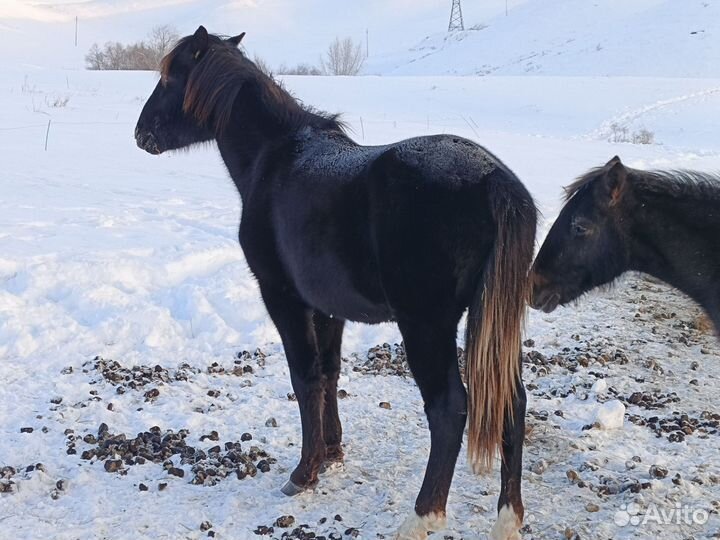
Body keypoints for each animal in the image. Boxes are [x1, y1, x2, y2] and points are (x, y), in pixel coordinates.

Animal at [135, 26, 537, 539]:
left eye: (170, 78)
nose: (141, 133)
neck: (276, 159)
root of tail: (491, 180)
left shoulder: (283, 298)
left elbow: (304, 377)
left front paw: (303, 473)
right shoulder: (328, 308)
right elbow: (329, 374)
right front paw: (331, 454)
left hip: (426, 326)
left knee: (449, 409)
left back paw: (422, 515)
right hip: (493, 321)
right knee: (512, 402)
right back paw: (509, 516)